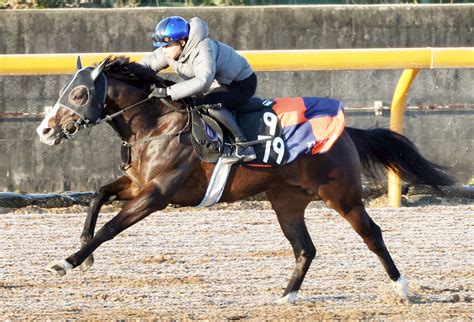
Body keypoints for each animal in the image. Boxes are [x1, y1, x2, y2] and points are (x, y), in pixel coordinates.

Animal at [35, 56, 454, 302]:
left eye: (79, 93)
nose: (45, 130)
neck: (154, 124)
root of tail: (347, 132)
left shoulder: (157, 194)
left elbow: (111, 227)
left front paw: (67, 262)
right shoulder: (138, 185)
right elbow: (97, 195)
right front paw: (84, 253)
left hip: (342, 195)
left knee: (372, 234)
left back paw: (402, 287)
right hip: (287, 201)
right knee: (305, 249)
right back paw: (286, 296)